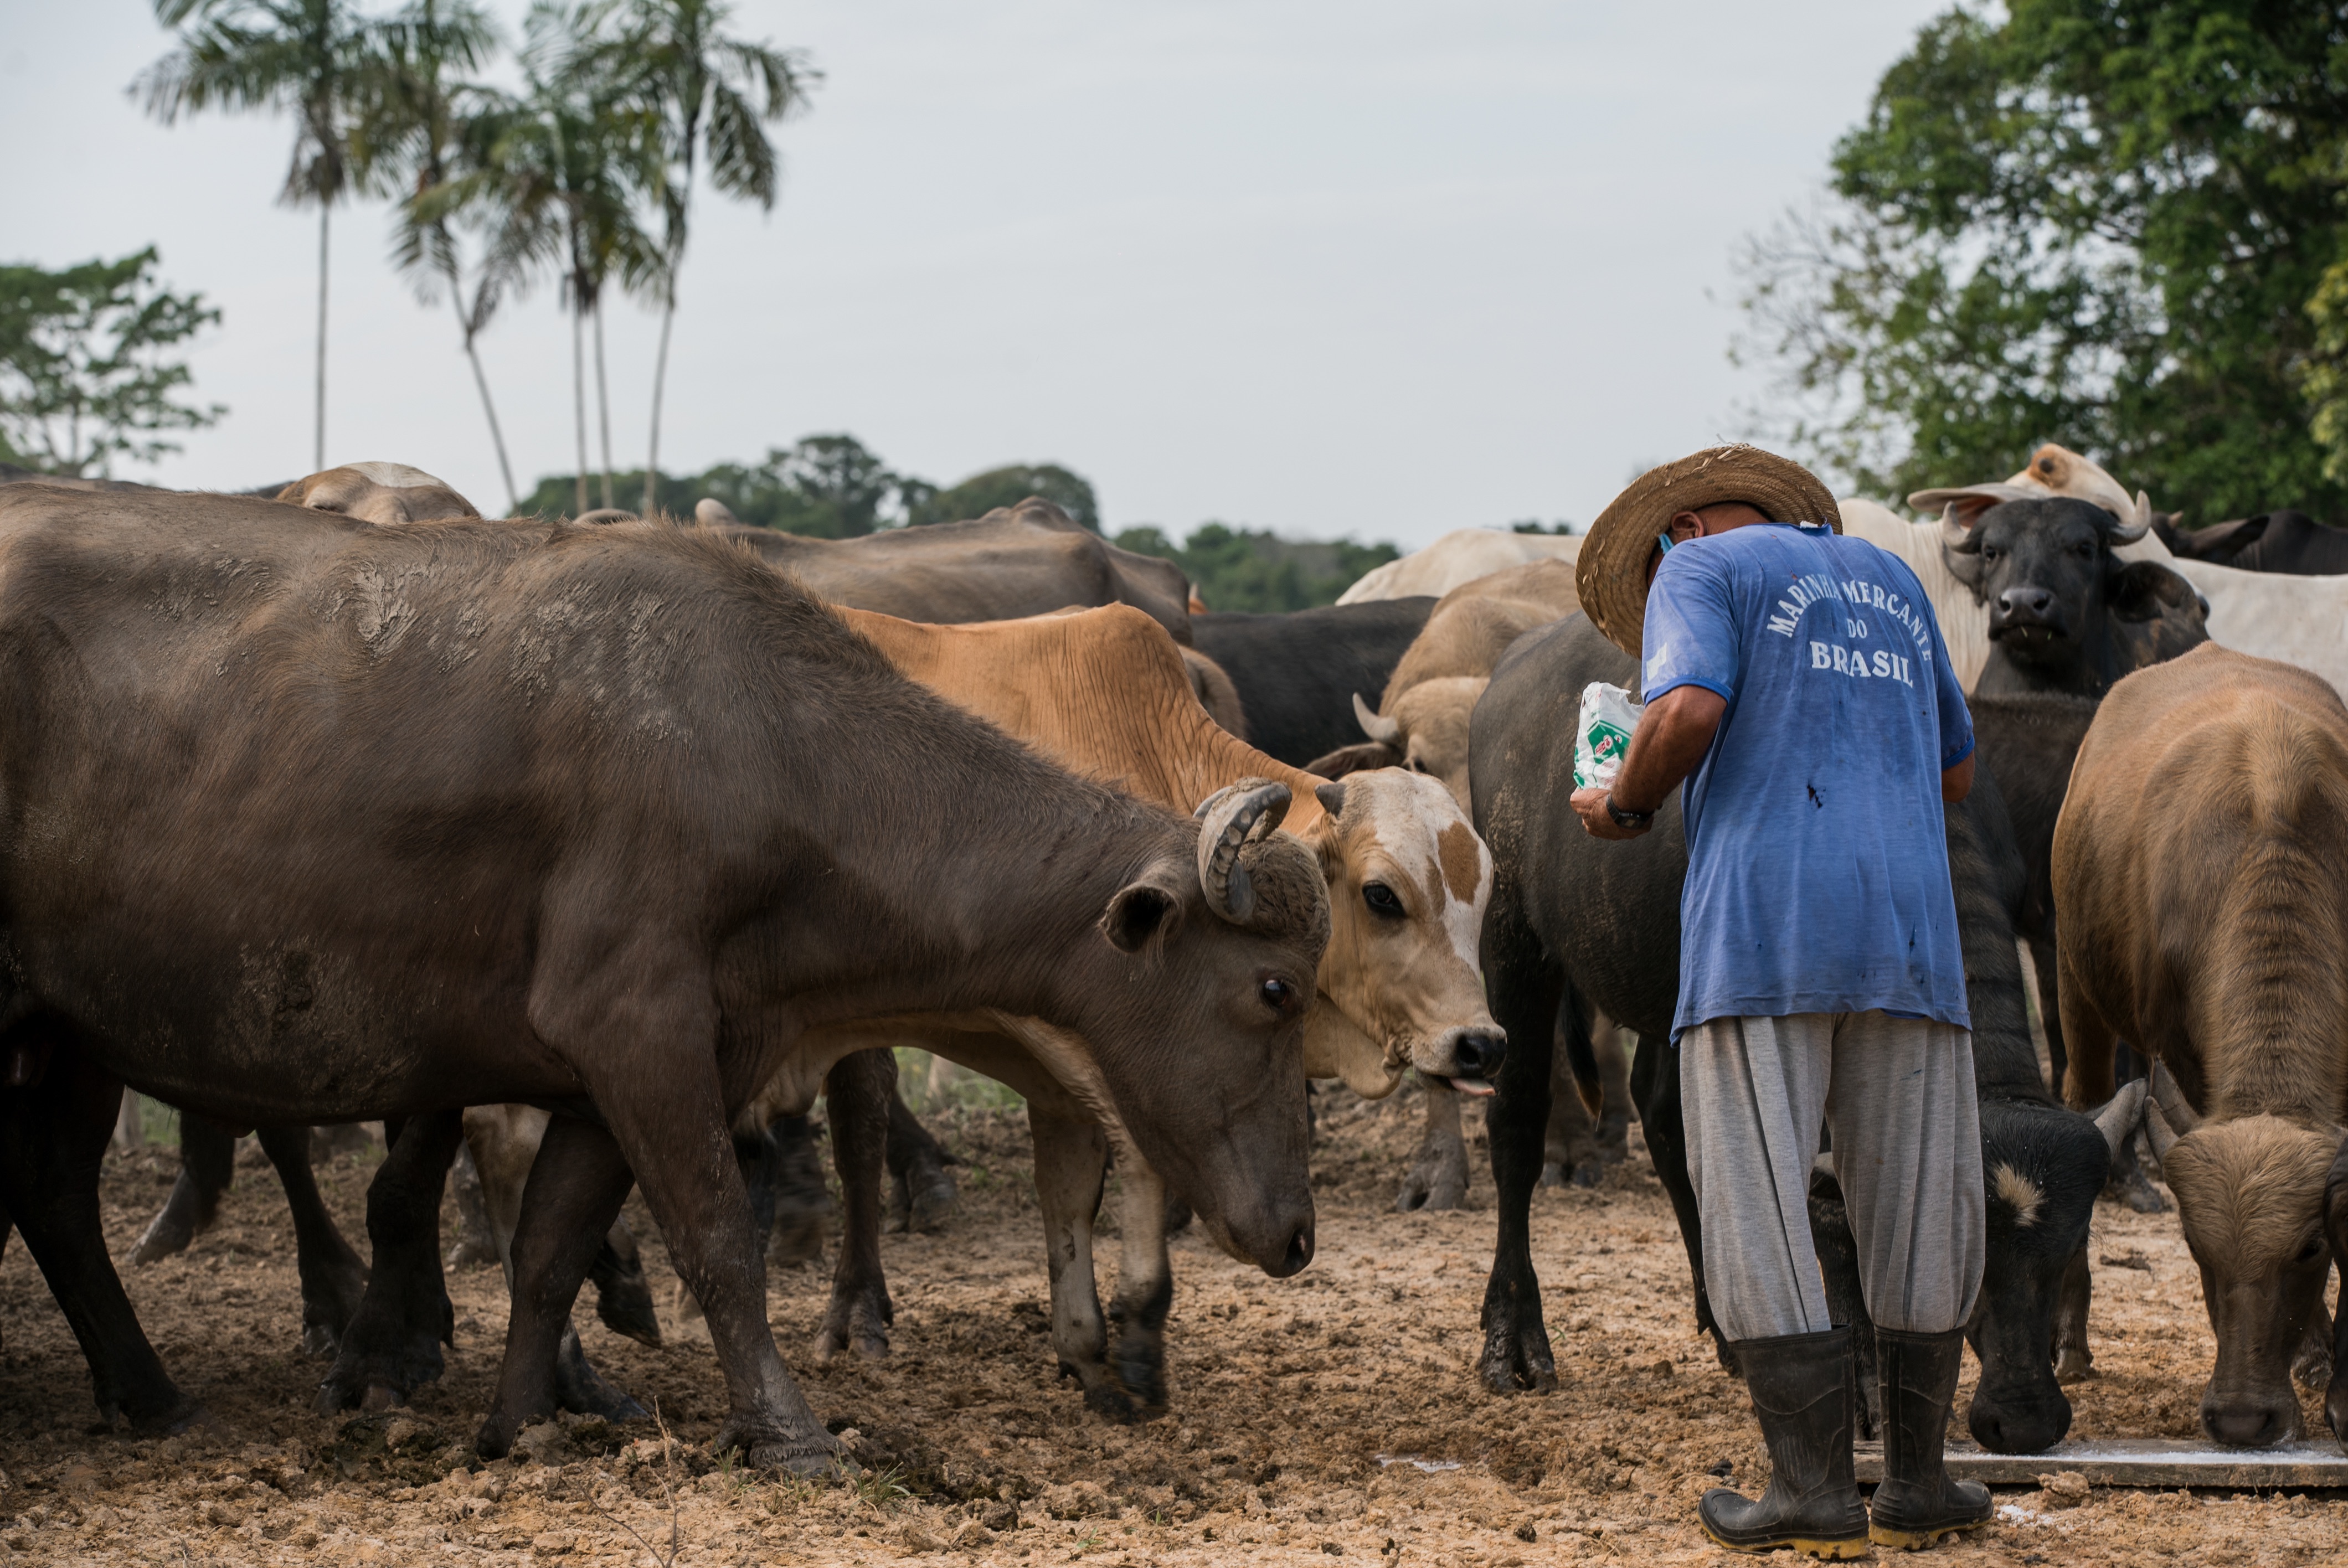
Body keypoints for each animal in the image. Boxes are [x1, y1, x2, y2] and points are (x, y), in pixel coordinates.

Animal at [0, 486, 1327, 1468]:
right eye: (1276, 992)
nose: (1298, 1235)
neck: (765, 747)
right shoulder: (638, 1030)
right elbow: (717, 1239)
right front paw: (787, 1432)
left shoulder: (621, 1073)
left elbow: (548, 1252)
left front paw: (519, 1422)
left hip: (69, 1036)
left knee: (56, 1199)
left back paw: (150, 1391)